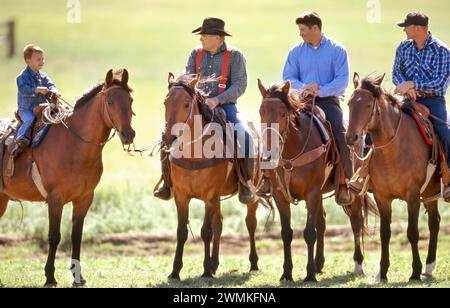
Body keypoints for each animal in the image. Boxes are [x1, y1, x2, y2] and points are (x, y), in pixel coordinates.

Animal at [0, 68, 135, 288]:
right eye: (110, 102)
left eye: (130, 100)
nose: (128, 134)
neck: (74, 144)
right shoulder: (56, 199)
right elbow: (54, 236)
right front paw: (49, 277)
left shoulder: (84, 199)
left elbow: (76, 236)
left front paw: (78, 278)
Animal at [163, 73, 266, 280]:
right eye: (165, 102)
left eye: (187, 104)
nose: (169, 138)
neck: (194, 154)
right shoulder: (181, 196)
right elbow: (181, 232)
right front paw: (175, 271)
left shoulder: (210, 196)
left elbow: (206, 231)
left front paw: (206, 271)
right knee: (219, 223)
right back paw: (215, 264)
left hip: (250, 193)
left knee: (250, 223)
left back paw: (253, 263)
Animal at [256, 79, 376, 282]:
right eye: (261, 111)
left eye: (282, 113)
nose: (271, 151)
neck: (293, 150)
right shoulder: (280, 195)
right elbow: (286, 233)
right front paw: (286, 273)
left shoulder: (311, 193)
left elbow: (309, 232)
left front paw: (310, 274)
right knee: (322, 222)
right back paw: (320, 264)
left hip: (353, 193)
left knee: (356, 221)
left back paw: (358, 265)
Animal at [346, 72, 442, 282]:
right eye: (349, 103)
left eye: (368, 105)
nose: (351, 138)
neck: (394, 149)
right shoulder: (382, 197)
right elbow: (385, 233)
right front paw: (383, 273)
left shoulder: (413, 195)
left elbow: (412, 232)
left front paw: (415, 272)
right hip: (430, 194)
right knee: (435, 222)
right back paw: (429, 267)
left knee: (433, 223)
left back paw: (427, 267)